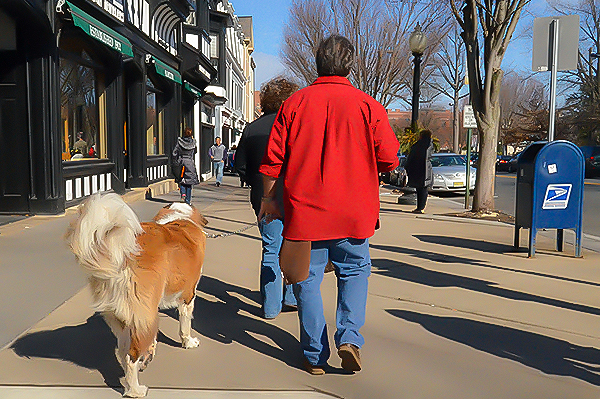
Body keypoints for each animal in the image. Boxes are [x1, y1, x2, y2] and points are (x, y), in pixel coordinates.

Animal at [66, 194, 209, 396]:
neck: (179, 218)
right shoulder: (188, 295)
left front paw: (152, 349)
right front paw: (188, 342)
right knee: (131, 356)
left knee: (122, 351)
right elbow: (185, 325)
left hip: (119, 315)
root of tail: (121, 252)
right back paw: (136, 390)